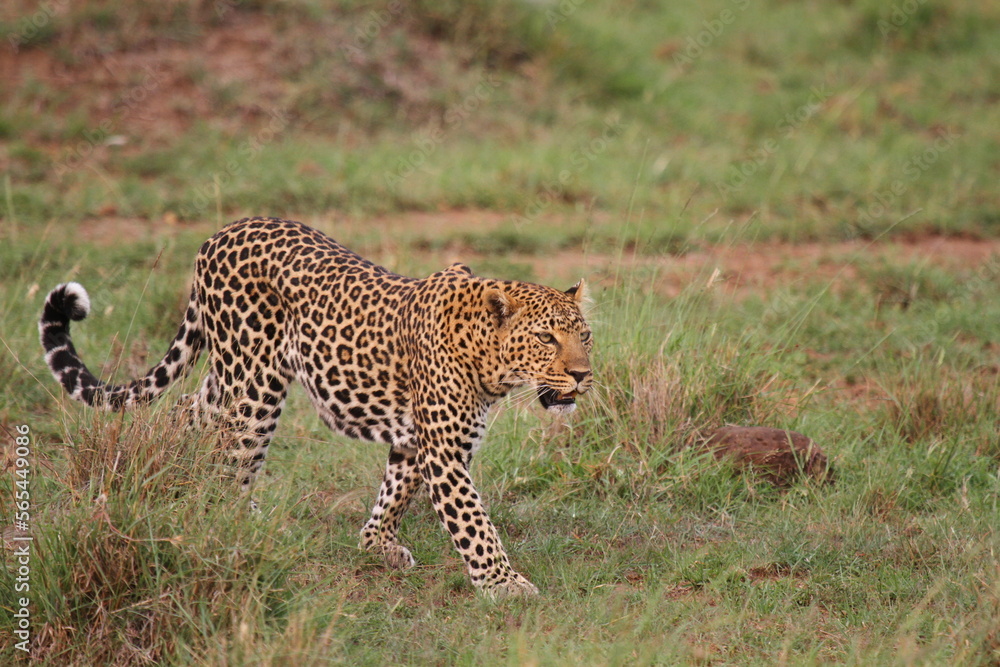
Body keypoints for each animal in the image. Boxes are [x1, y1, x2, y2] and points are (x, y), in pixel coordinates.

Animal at [39, 217, 594, 597]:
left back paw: (176, 483)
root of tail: (218, 235)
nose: (583, 375)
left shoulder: (417, 439)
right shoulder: (443, 450)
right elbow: (473, 522)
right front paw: (504, 584)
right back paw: (236, 528)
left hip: (230, 378)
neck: (487, 358)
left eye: (584, 336)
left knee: (188, 413)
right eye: (546, 339)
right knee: (235, 453)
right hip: (254, 384)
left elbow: (395, 491)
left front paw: (376, 544)